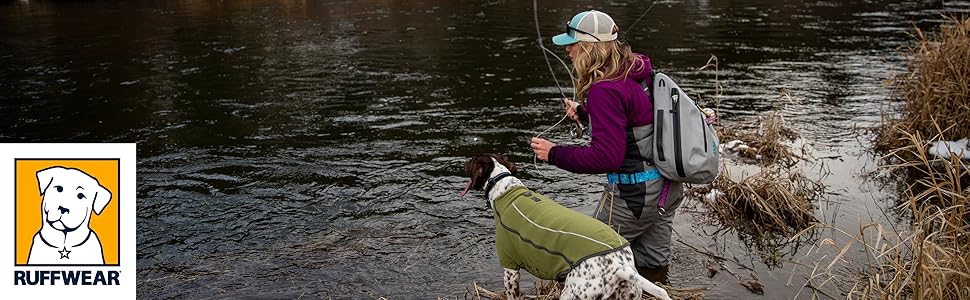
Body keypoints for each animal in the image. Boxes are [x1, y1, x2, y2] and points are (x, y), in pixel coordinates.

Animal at [460, 155, 668, 300]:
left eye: (472, 161)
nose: (464, 161)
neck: (505, 189)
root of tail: (619, 265)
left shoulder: (510, 267)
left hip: (573, 294)